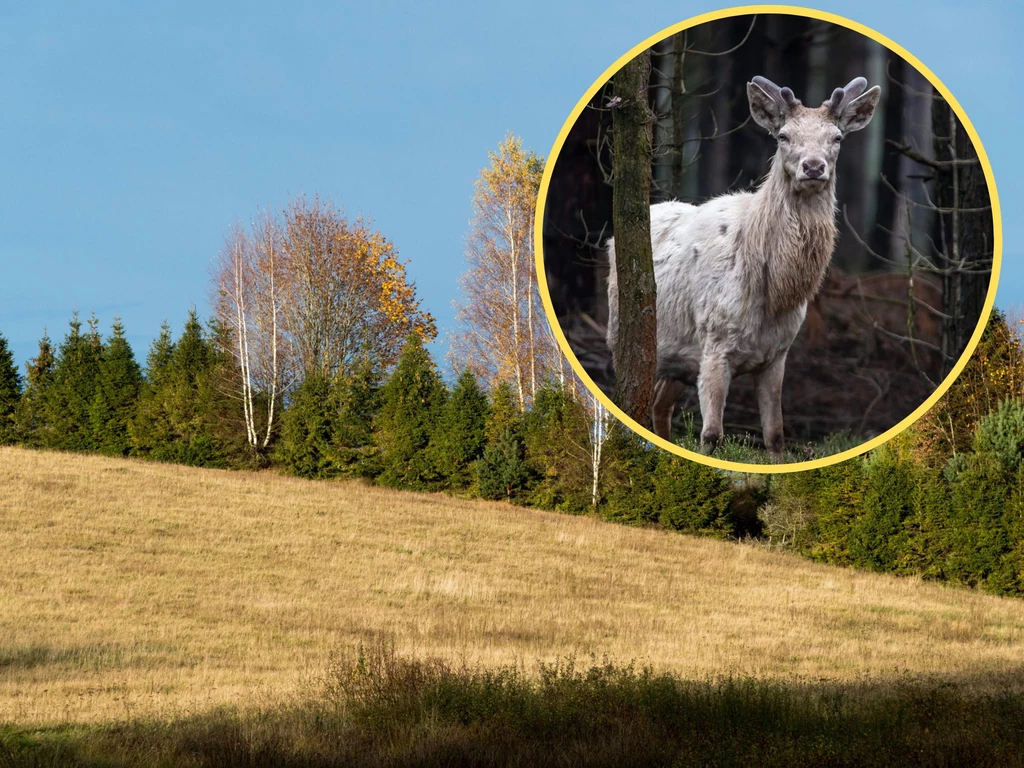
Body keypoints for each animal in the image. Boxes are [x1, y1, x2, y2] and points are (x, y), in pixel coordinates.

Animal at [606, 75, 880, 460]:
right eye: (784, 136)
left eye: (837, 137)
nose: (813, 167)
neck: (772, 293)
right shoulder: (714, 342)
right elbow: (711, 436)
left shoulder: (777, 354)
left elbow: (775, 435)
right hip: (623, 339)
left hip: (677, 359)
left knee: (660, 407)